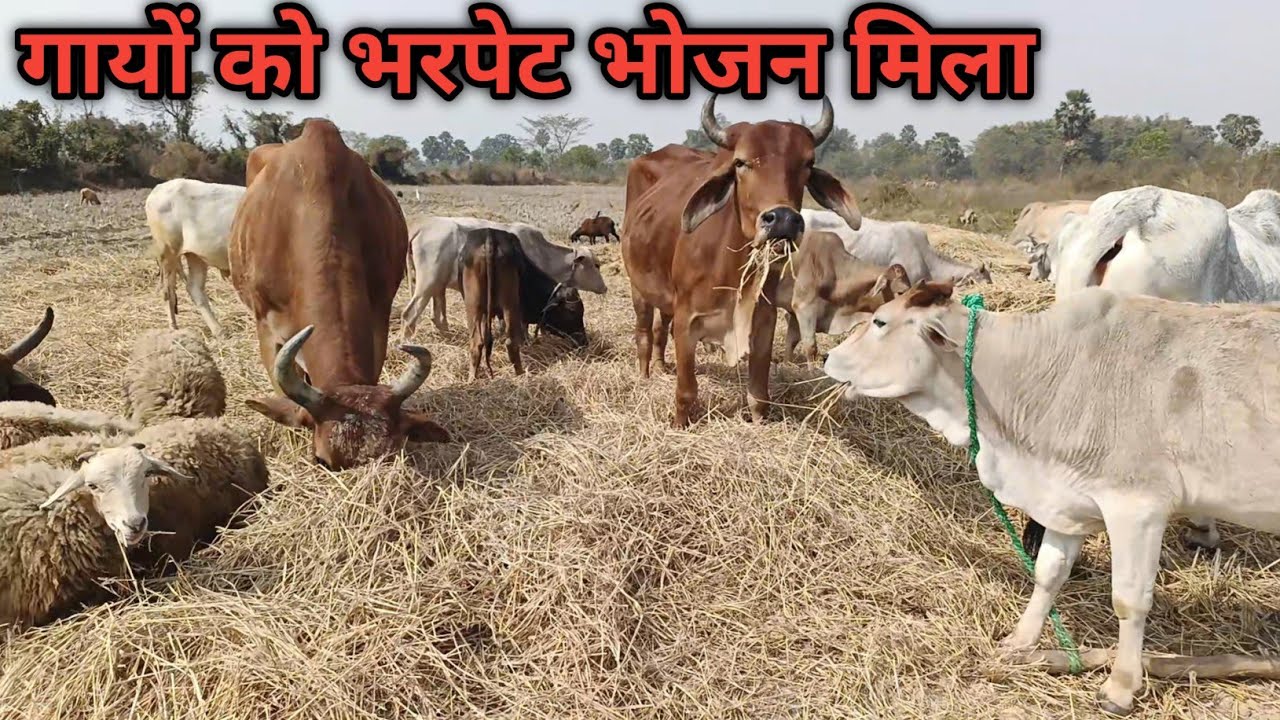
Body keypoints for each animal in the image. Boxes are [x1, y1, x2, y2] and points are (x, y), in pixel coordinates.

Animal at [145, 178, 246, 335]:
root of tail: (158, 188)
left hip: (195, 256)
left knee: (194, 288)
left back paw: (218, 330)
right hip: (168, 253)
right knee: (167, 291)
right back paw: (174, 328)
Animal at [401, 215, 606, 338]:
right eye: (595, 265)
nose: (605, 288)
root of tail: (422, 227)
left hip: (438, 286)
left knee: (438, 318)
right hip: (427, 284)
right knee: (409, 315)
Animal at [456, 227, 588, 381]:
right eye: (572, 312)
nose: (584, 341)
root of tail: (490, 236)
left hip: (489, 305)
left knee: (488, 343)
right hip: (496, 305)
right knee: (495, 343)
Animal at [621, 94, 861, 427]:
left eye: (807, 163)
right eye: (740, 162)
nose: (783, 219)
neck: (732, 268)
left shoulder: (764, 317)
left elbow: (758, 394)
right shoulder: (687, 318)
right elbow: (687, 392)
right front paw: (680, 424)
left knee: (658, 329)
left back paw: (660, 367)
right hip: (638, 288)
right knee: (644, 333)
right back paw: (645, 376)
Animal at [823, 281, 1280, 715]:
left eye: (880, 321)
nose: (828, 357)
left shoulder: (1138, 506)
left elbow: (1130, 600)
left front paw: (1119, 687)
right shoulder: (1066, 500)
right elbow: (1048, 574)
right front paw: (1020, 640)